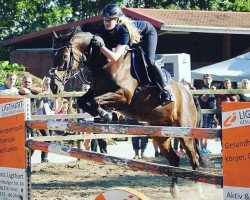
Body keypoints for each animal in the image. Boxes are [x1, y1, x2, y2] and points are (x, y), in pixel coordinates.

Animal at [49, 27, 206, 199]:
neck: (104, 62)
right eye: (52, 56)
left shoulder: (123, 95)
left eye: (64, 57)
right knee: (174, 160)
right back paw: (175, 192)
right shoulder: (95, 92)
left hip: (185, 133)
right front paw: (107, 114)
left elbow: (95, 101)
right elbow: (84, 102)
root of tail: (189, 94)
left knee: (194, 159)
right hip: (161, 133)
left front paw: (107, 114)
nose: (54, 87)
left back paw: (199, 191)